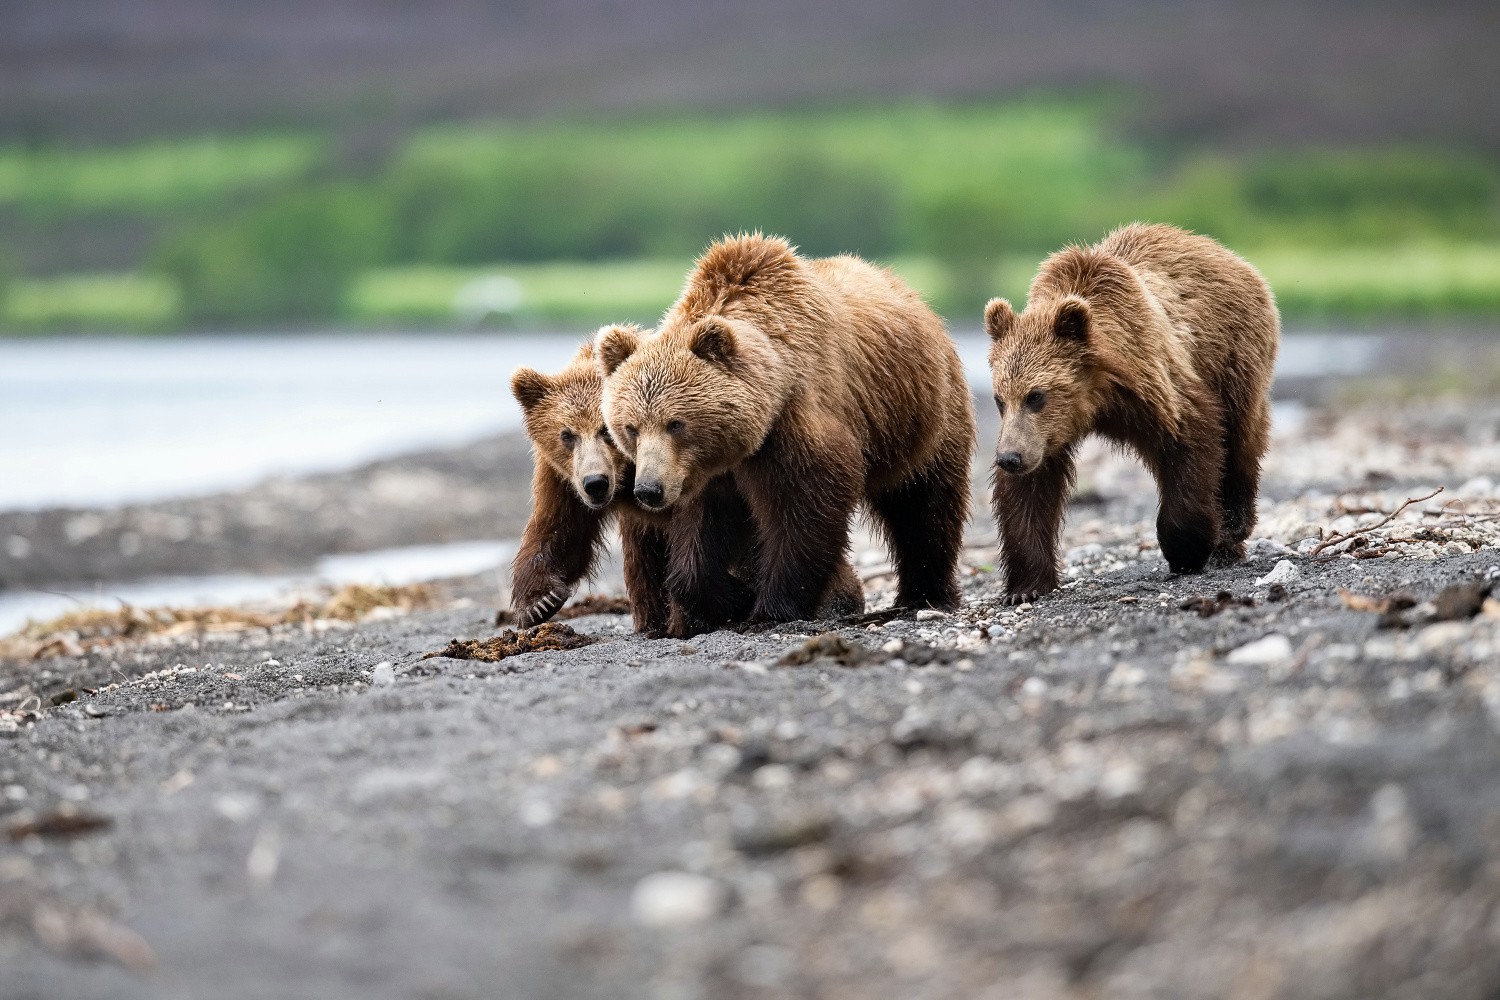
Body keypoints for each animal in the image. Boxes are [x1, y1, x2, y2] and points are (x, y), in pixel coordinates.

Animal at [507, 332, 864, 638]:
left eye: (606, 431)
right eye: (567, 435)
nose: (595, 483)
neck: (627, 476)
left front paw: (697, 616)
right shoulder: (562, 476)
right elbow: (560, 529)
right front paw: (538, 603)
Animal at [591, 236, 978, 626]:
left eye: (676, 423)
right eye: (630, 428)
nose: (648, 489)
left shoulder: (793, 422)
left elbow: (808, 504)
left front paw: (770, 608)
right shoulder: (703, 471)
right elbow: (700, 533)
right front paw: (733, 598)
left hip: (924, 414)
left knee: (925, 506)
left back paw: (924, 595)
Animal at [984, 224, 1278, 602]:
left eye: (1037, 395)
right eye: (999, 399)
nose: (1009, 458)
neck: (1099, 395)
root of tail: (1231, 256)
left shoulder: (1158, 384)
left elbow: (1193, 438)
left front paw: (1187, 549)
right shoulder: (1044, 435)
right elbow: (1030, 493)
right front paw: (1025, 588)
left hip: (1234, 356)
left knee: (1241, 439)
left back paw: (1231, 532)